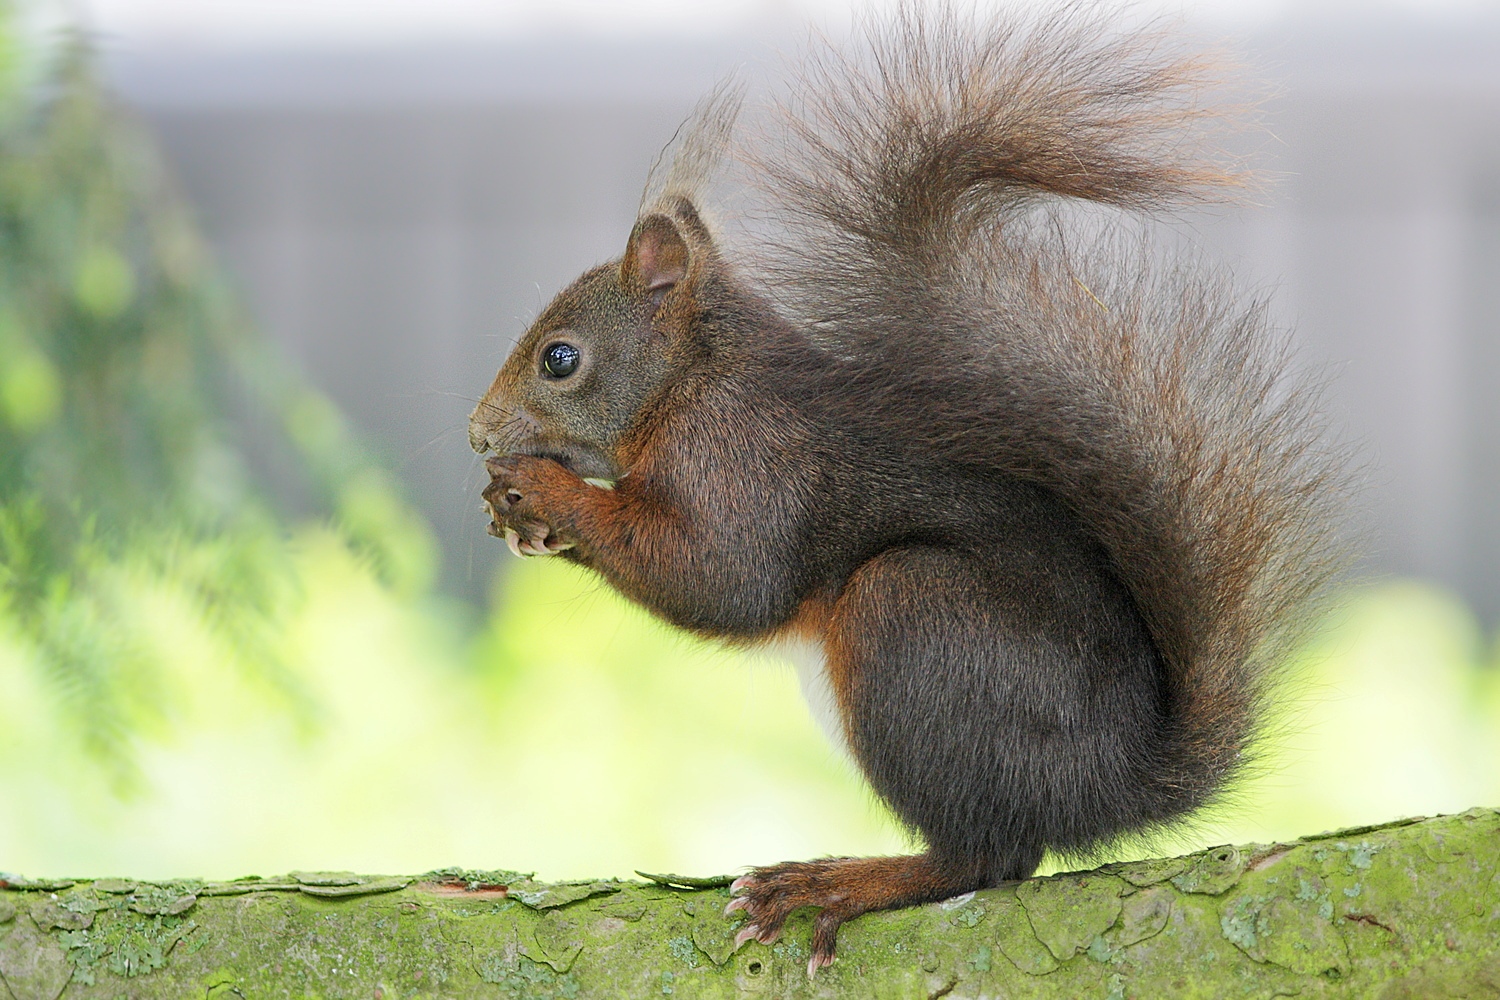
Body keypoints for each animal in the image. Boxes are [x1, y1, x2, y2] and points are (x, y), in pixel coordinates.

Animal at [465, 5, 1338, 977]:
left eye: (560, 359)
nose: (478, 433)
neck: (696, 376)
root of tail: (1112, 782)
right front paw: (515, 514)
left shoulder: (746, 459)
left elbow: (723, 578)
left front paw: (545, 490)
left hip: (915, 620)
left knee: (988, 856)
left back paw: (837, 883)